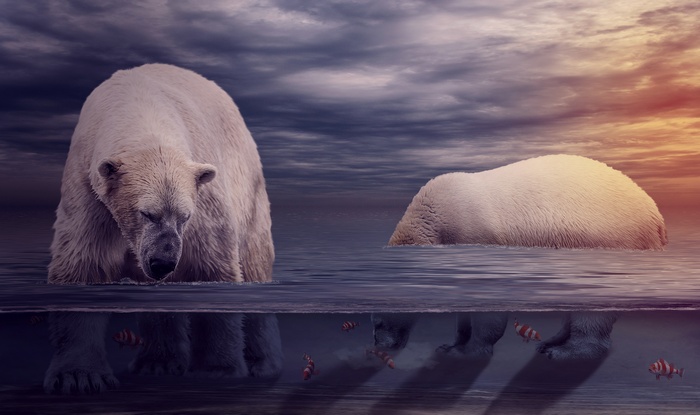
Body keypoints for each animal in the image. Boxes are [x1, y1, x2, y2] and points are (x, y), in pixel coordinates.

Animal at [44, 64, 281, 394]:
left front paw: (215, 370)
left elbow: (209, 266)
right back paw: (158, 363)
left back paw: (262, 363)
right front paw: (79, 376)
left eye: (185, 216)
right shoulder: (89, 186)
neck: (141, 105)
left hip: (249, 188)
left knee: (255, 262)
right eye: (147, 214)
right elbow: (84, 264)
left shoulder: (203, 195)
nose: (162, 262)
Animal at [382, 155, 666, 360]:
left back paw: (564, 351)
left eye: (383, 319)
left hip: (613, 240)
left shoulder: (474, 235)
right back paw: (552, 341)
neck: (431, 218)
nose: (381, 344)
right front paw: (450, 345)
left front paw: (465, 351)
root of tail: (657, 216)